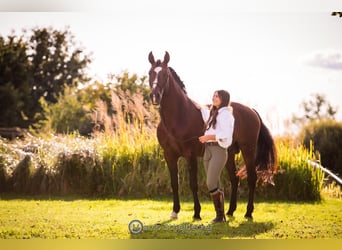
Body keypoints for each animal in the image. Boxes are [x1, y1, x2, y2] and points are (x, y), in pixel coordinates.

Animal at [148, 50, 276, 219]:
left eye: (165, 74)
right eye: (150, 73)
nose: (155, 96)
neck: (179, 116)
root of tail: (252, 111)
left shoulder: (190, 155)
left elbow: (193, 184)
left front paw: (196, 213)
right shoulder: (169, 155)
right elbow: (174, 183)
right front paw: (175, 211)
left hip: (248, 150)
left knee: (252, 178)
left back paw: (248, 213)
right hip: (229, 153)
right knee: (234, 178)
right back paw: (230, 211)